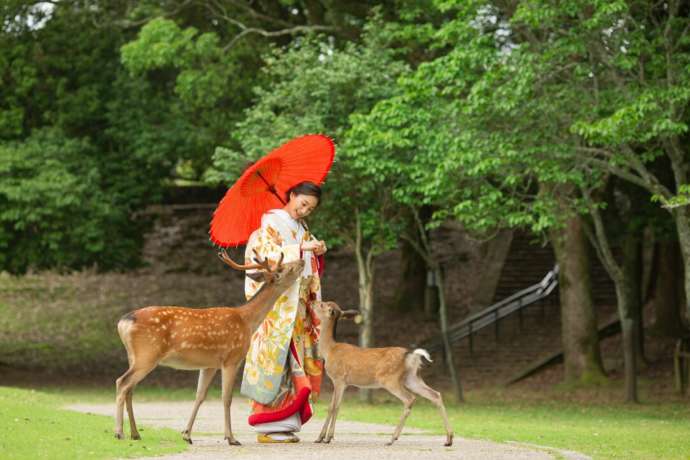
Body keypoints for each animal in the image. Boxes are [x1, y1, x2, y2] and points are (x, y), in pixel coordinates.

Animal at [114, 252, 302, 446]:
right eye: (285, 268)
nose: (302, 261)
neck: (247, 321)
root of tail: (124, 322)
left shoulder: (209, 364)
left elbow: (200, 396)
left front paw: (186, 435)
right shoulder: (231, 359)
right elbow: (226, 398)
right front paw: (231, 438)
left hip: (134, 356)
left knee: (130, 389)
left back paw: (135, 434)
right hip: (147, 354)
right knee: (122, 382)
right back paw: (119, 432)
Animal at [312, 300, 452, 448]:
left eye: (322, 304)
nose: (313, 302)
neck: (329, 350)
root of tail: (411, 356)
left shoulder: (339, 379)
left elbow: (334, 406)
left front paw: (326, 437)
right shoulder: (342, 382)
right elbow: (332, 407)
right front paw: (321, 437)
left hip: (390, 379)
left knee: (409, 398)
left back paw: (392, 439)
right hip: (412, 378)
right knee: (435, 395)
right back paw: (449, 439)